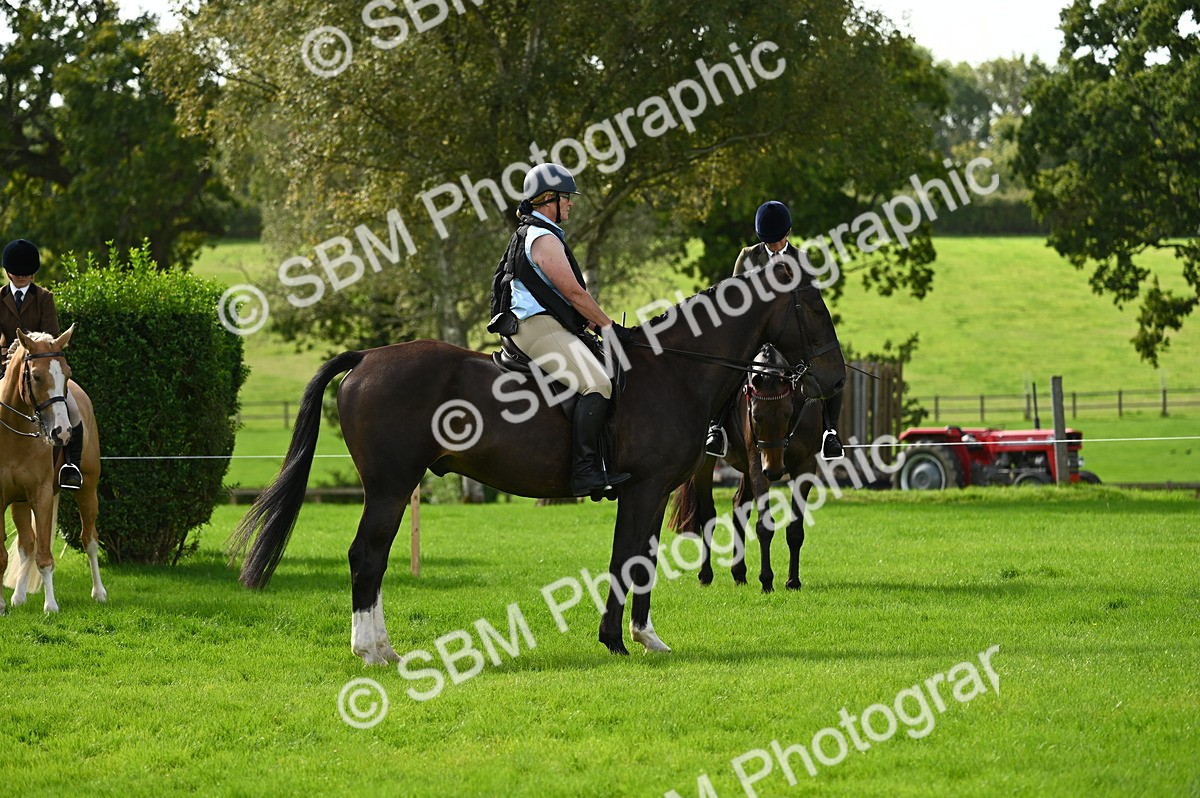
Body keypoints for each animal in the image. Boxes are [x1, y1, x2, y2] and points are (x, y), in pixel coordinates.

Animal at [0, 327, 106, 613]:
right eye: (36, 376)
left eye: (66, 373)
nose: (62, 433)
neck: (13, 433)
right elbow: (5, 554)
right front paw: (1, 604)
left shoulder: (43, 495)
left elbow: (45, 556)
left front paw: (51, 606)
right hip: (20, 502)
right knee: (27, 544)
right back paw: (18, 597)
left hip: (88, 489)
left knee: (89, 539)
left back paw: (99, 593)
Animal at [668, 345, 825, 592]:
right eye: (756, 417)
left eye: (788, 414)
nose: (774, 471)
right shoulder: (757, 462)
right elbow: (764, 525)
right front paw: (767, 580)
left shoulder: (805, 465)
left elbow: (795, 529)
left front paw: (793, 581)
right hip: (711, 465)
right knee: (708, 516)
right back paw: (705, 575)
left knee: (739, 508)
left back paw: (739, 573)